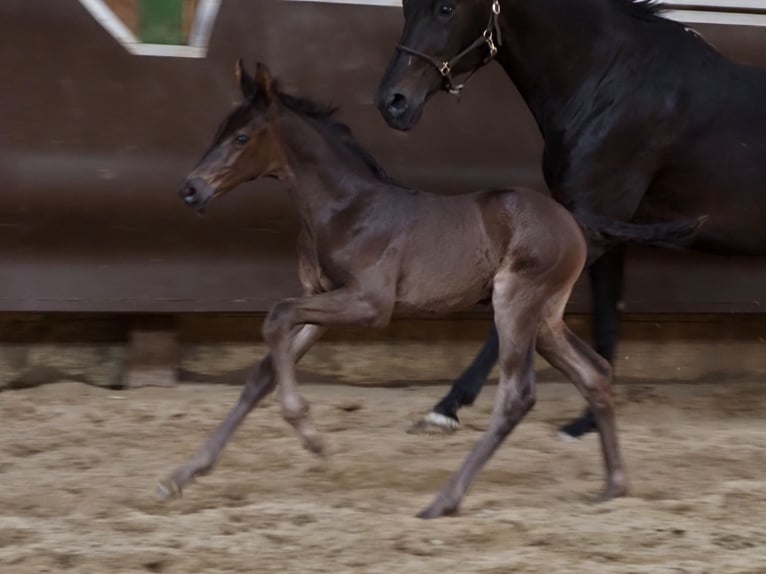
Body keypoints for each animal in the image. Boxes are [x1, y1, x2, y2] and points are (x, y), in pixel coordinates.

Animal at [165, 60, 628, 520]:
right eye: (219, 130)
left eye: (242, 137)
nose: (190, 189)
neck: (346, 208)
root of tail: (574, 225)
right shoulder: (321, 298)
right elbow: (263, 371)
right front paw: (181, 475)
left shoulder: (370, 304)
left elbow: (277, 315)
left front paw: (312, 436)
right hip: (545, 318)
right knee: (594, 372)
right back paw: (614, 485)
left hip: (515, 304)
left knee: (518, 395)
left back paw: (444, 500)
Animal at [376, 0, 766, 438]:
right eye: (406, 7)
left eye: (445, 8)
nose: (393, 102)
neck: (610, 83)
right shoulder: (607, 228)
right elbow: (606, 318)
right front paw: (587, 420)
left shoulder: (590, 229)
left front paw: (446, 408)